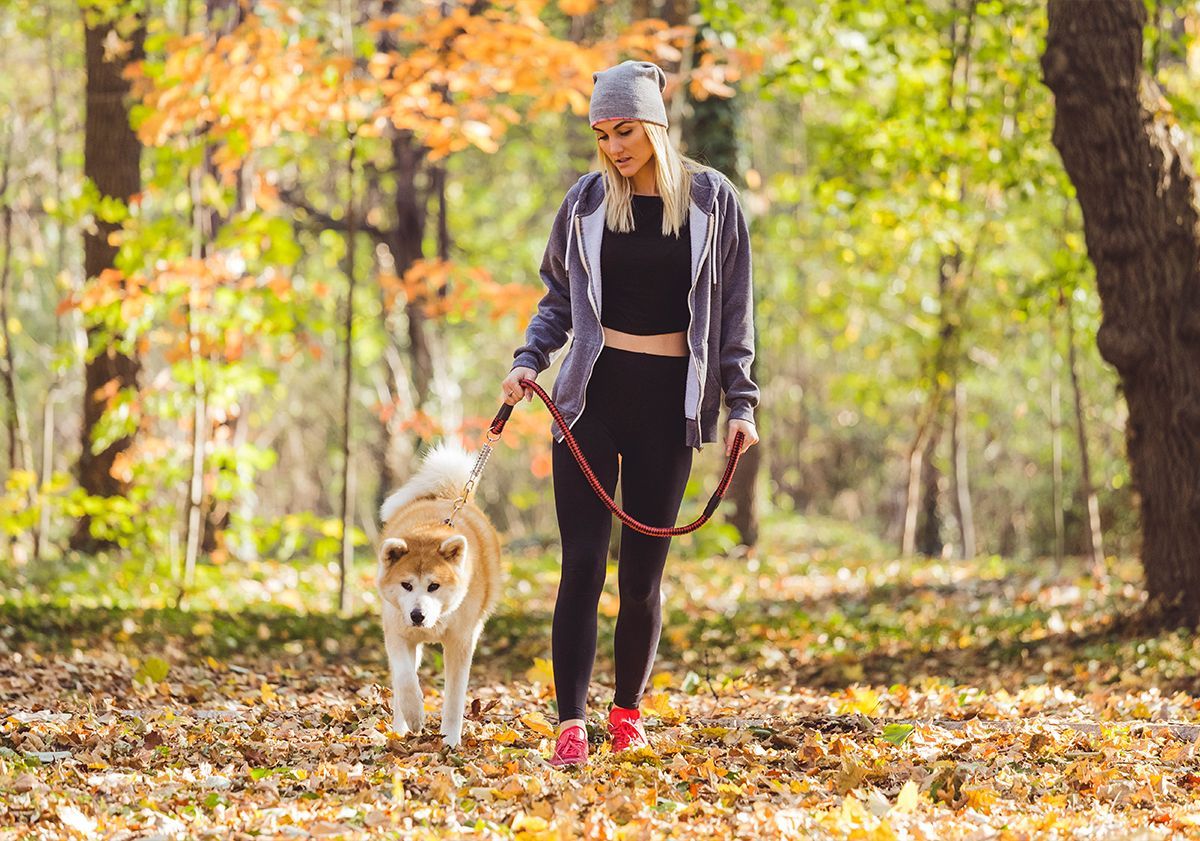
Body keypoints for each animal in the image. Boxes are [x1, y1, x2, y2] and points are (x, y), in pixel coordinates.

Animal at [376, 439, 504, 748]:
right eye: (406, 585)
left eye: (434, 586)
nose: (417, 615)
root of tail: (446, 495)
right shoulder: (397, 632)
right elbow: (405, 678)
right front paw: (414, 714)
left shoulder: (460, 641)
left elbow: (454, 699)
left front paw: (450, 740)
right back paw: (399, 728)